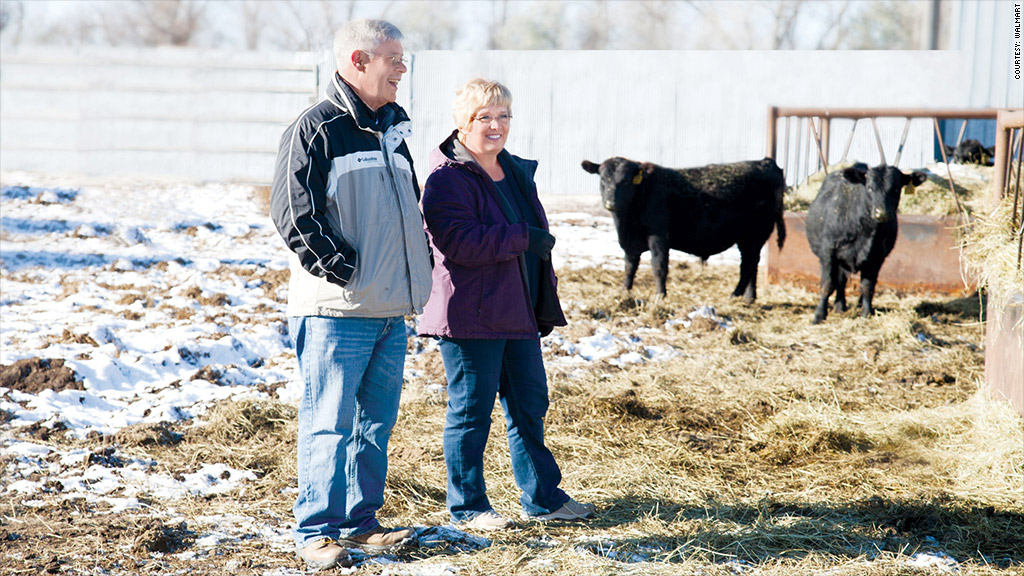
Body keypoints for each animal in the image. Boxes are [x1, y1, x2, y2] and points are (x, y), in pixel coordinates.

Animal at [581, 156, 786, 301]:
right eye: (603, 180)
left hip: (754, 235)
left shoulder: (659, 236)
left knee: (748, 265)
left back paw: (736, 295)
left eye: (625, 181)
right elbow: (630, 266)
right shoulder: (630, 243)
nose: (611, 203)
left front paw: (660, 296)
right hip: (750, 238)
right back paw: (749, 298)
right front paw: (625, 291)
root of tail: (765, 162)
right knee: (752, 265)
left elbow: (659, 266)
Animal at [806, 162, 929, 323]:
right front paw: (819, 315)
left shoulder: (876, 257)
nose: (881, 212)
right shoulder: (828, 253)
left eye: (896, 188)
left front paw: (866, 313)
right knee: (839, 280)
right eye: (870, 187)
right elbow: (827, 284)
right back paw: (839, 306)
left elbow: (867, 286)